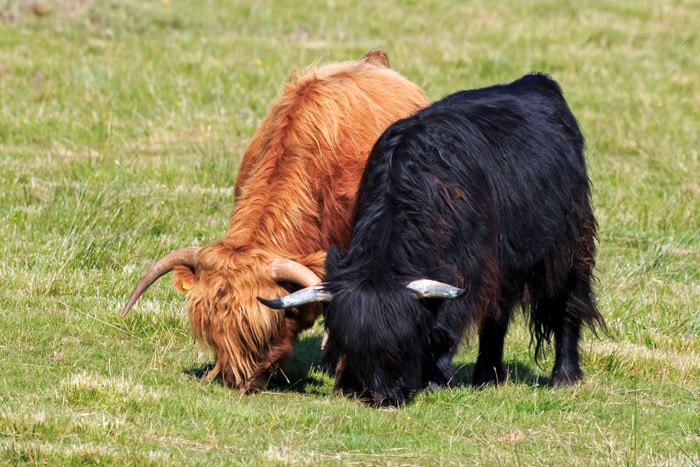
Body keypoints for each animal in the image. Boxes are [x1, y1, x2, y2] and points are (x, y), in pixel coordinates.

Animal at [262, 73, 608, 406]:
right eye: (353, 346)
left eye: (402, 343)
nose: (382, 396)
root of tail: (536, 82)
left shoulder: (467, 271)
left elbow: (443, 331)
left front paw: (435, 382)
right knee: (497, 315)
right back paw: (487, 375)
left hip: (569, 248)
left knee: (568, 305)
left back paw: (564, 375)